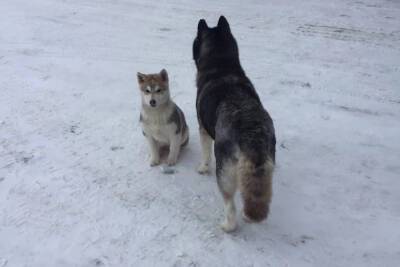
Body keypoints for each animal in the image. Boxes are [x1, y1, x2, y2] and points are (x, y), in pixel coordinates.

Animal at [193, 16, 276, 232]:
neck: (222, 65)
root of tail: (251, 133)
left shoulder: (203, 129)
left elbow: (205, 154)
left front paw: (202, 168)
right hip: (266, 165)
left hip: (225, 171)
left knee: (229, 203)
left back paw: (227, 226)